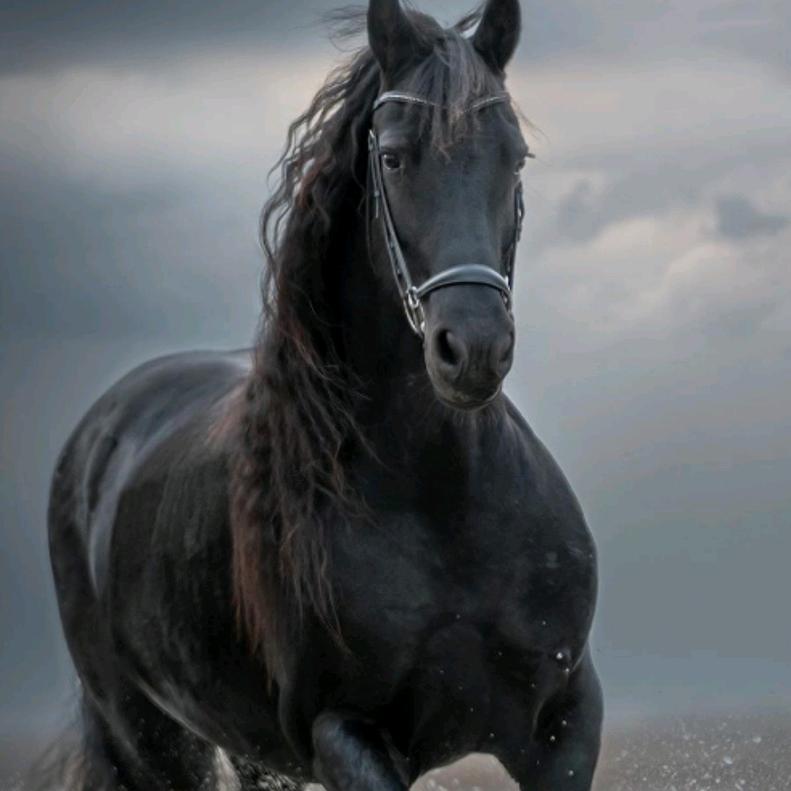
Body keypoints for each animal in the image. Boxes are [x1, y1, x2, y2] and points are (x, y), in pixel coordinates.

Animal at [44, 1, 602, 789]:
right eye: (394, 157)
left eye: (514, 157)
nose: (473, 351)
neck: (443, 503)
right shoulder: (343, 731)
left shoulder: (563, 718)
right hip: (148, 741)